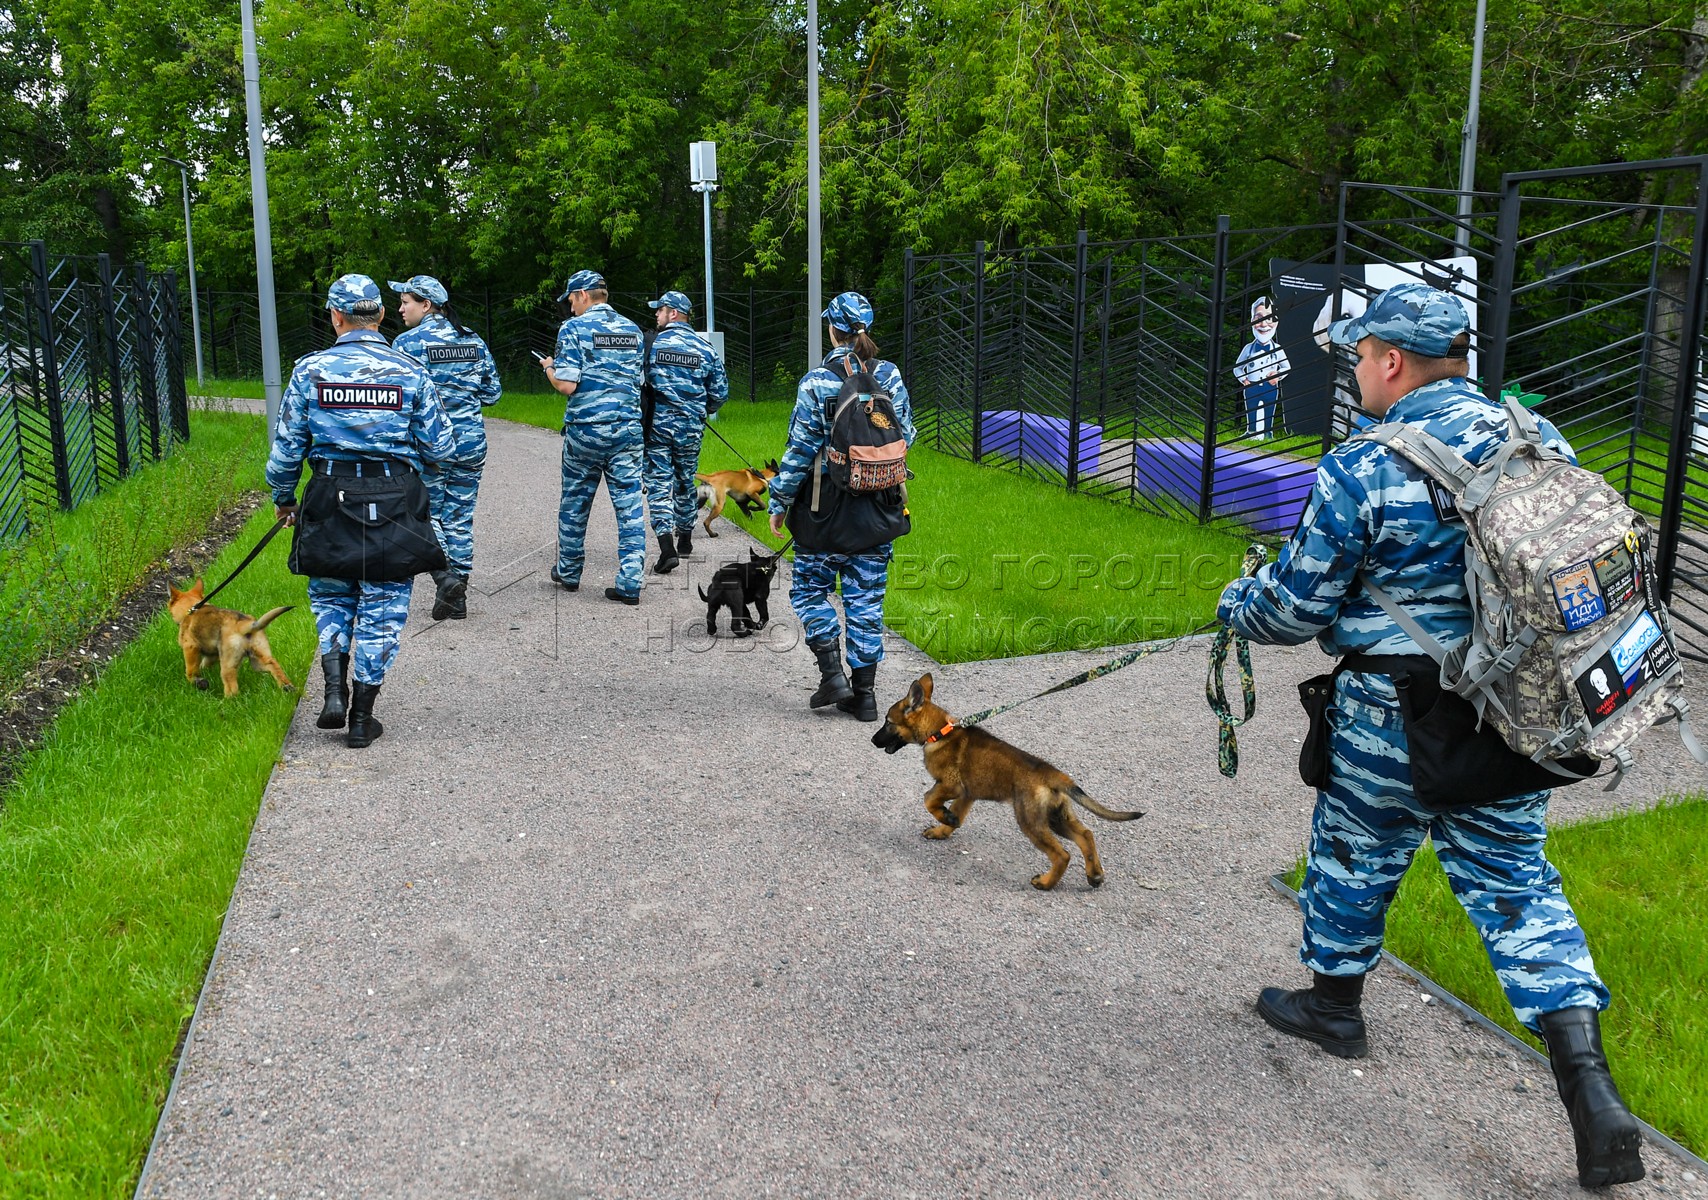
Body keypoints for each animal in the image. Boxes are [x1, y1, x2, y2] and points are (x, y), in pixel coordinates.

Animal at [874, 675, 1140, 894]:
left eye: (887, 722)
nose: (872, 740)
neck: (939, 732)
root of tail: (1053, 774)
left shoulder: (951, 785)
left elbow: (928, 799)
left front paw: (945, 817)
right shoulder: (968, 794)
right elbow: (956, 813)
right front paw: (945, 827)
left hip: (1029, 819)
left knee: (1062, 854)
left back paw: (1045, 883)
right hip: (1056, 816)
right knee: (1085, 834)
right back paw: (1094, 875)